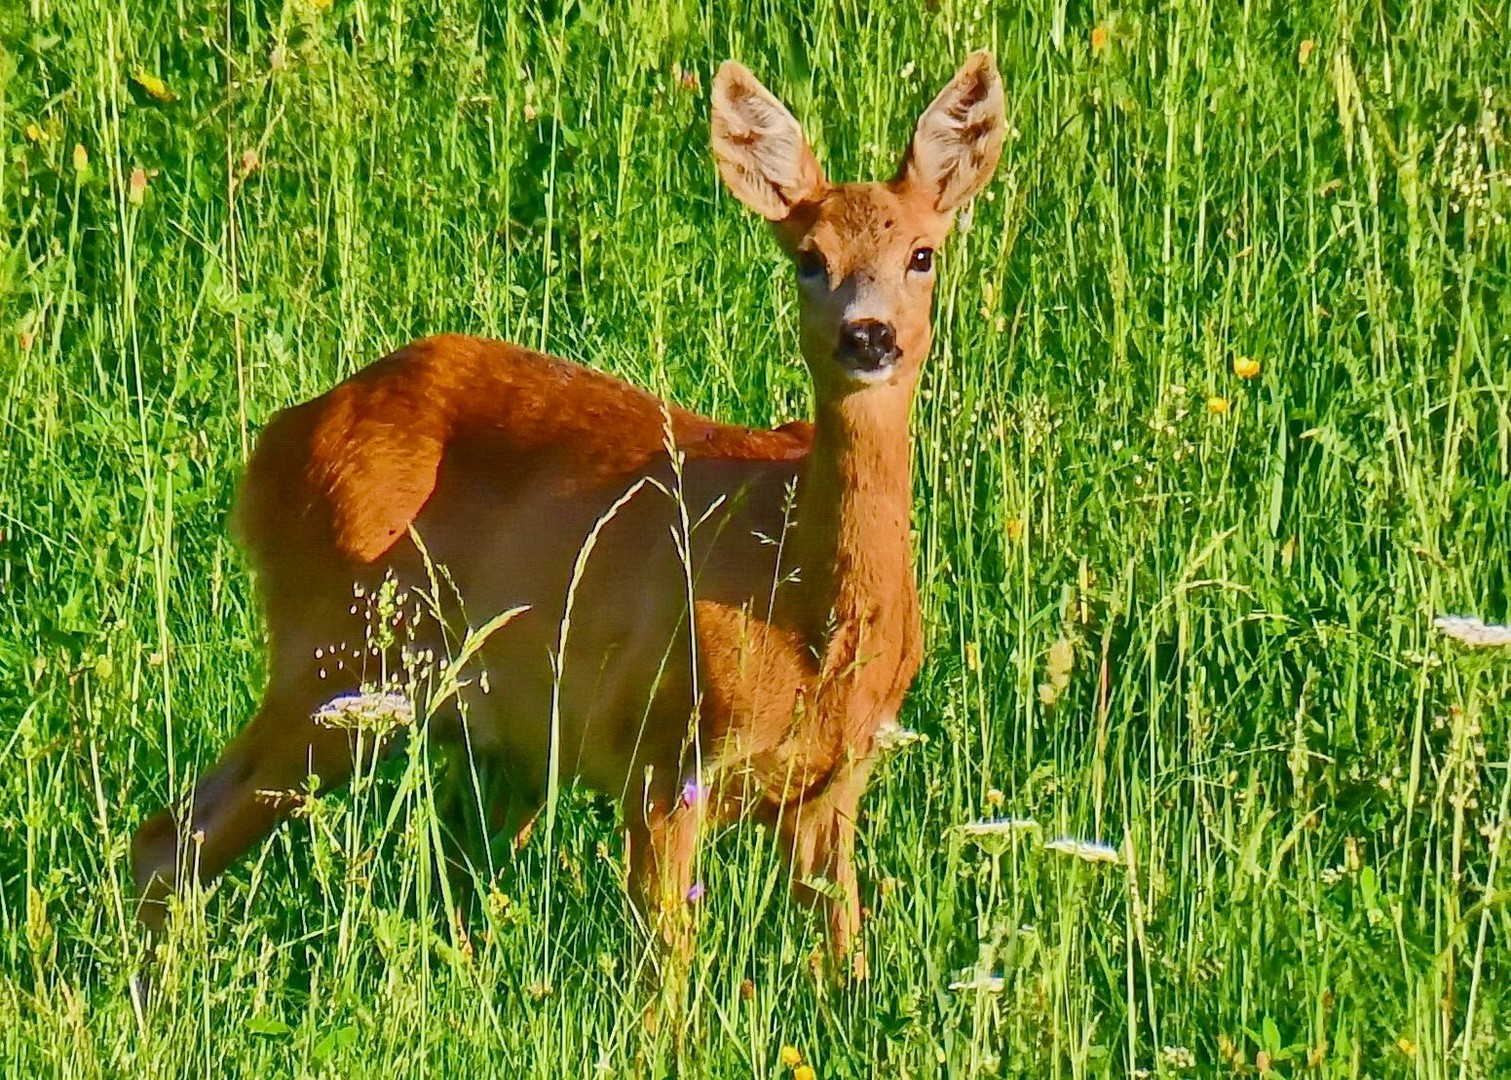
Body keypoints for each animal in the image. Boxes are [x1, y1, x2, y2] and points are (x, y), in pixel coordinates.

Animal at [131, 52, 1005, 977]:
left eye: (921, 253)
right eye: (808, 257)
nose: (867, 335)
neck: (807, 612)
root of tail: (276, 442)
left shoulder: (835, 779)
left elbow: (846, 957)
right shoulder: (661, 752)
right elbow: (668, 963)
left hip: (472, 728)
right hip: (341, 657)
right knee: (171, 837)